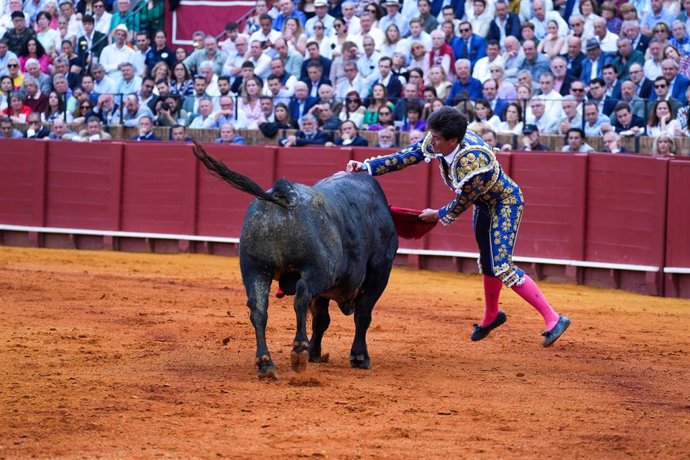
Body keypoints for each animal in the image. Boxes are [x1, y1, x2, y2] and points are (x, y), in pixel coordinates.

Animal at [194, 145, 398, 380]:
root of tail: (282, 194)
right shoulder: (379, 270)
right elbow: (362, 314)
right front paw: (359, 357)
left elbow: (321, 318)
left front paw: (315, 353)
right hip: (318, 271)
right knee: (301, 297)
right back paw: (299, 349)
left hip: (255, 270)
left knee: (258, 309)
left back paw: (266, 363)